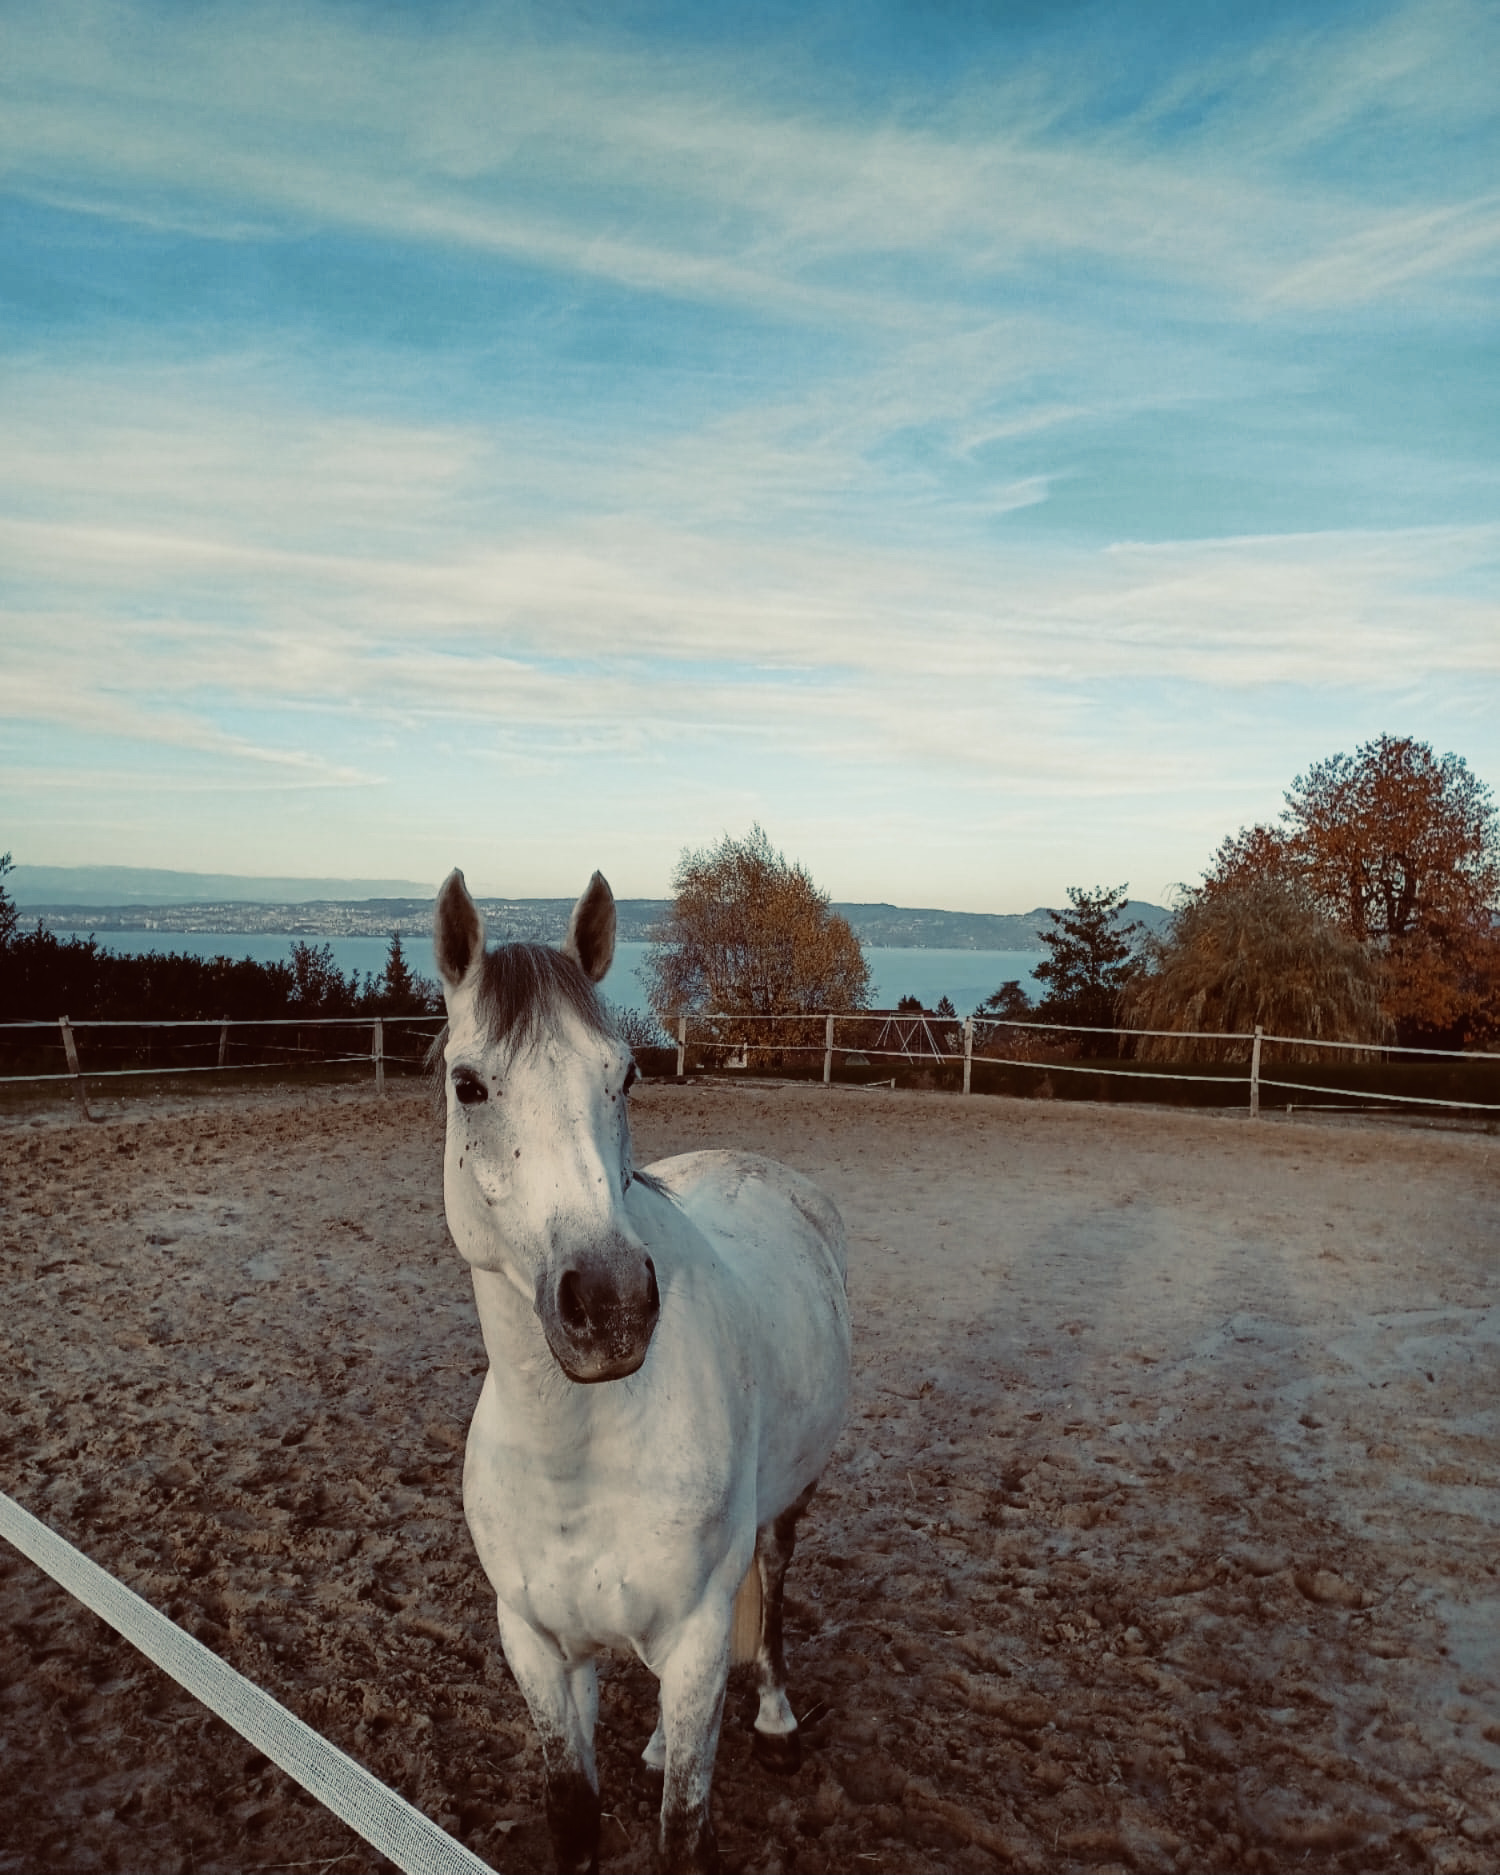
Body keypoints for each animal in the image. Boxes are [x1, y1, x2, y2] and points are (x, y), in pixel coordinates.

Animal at [433, 866, 852, 1874]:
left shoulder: (698, 1641)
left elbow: (683, 1830)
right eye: (470, 1084)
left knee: (774, 1593)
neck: (578, 1456)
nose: (611, 1303)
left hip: (788, 1505)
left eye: (623, 1074)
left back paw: (777, 1723)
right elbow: (575, 1812)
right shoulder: (539, 1649)